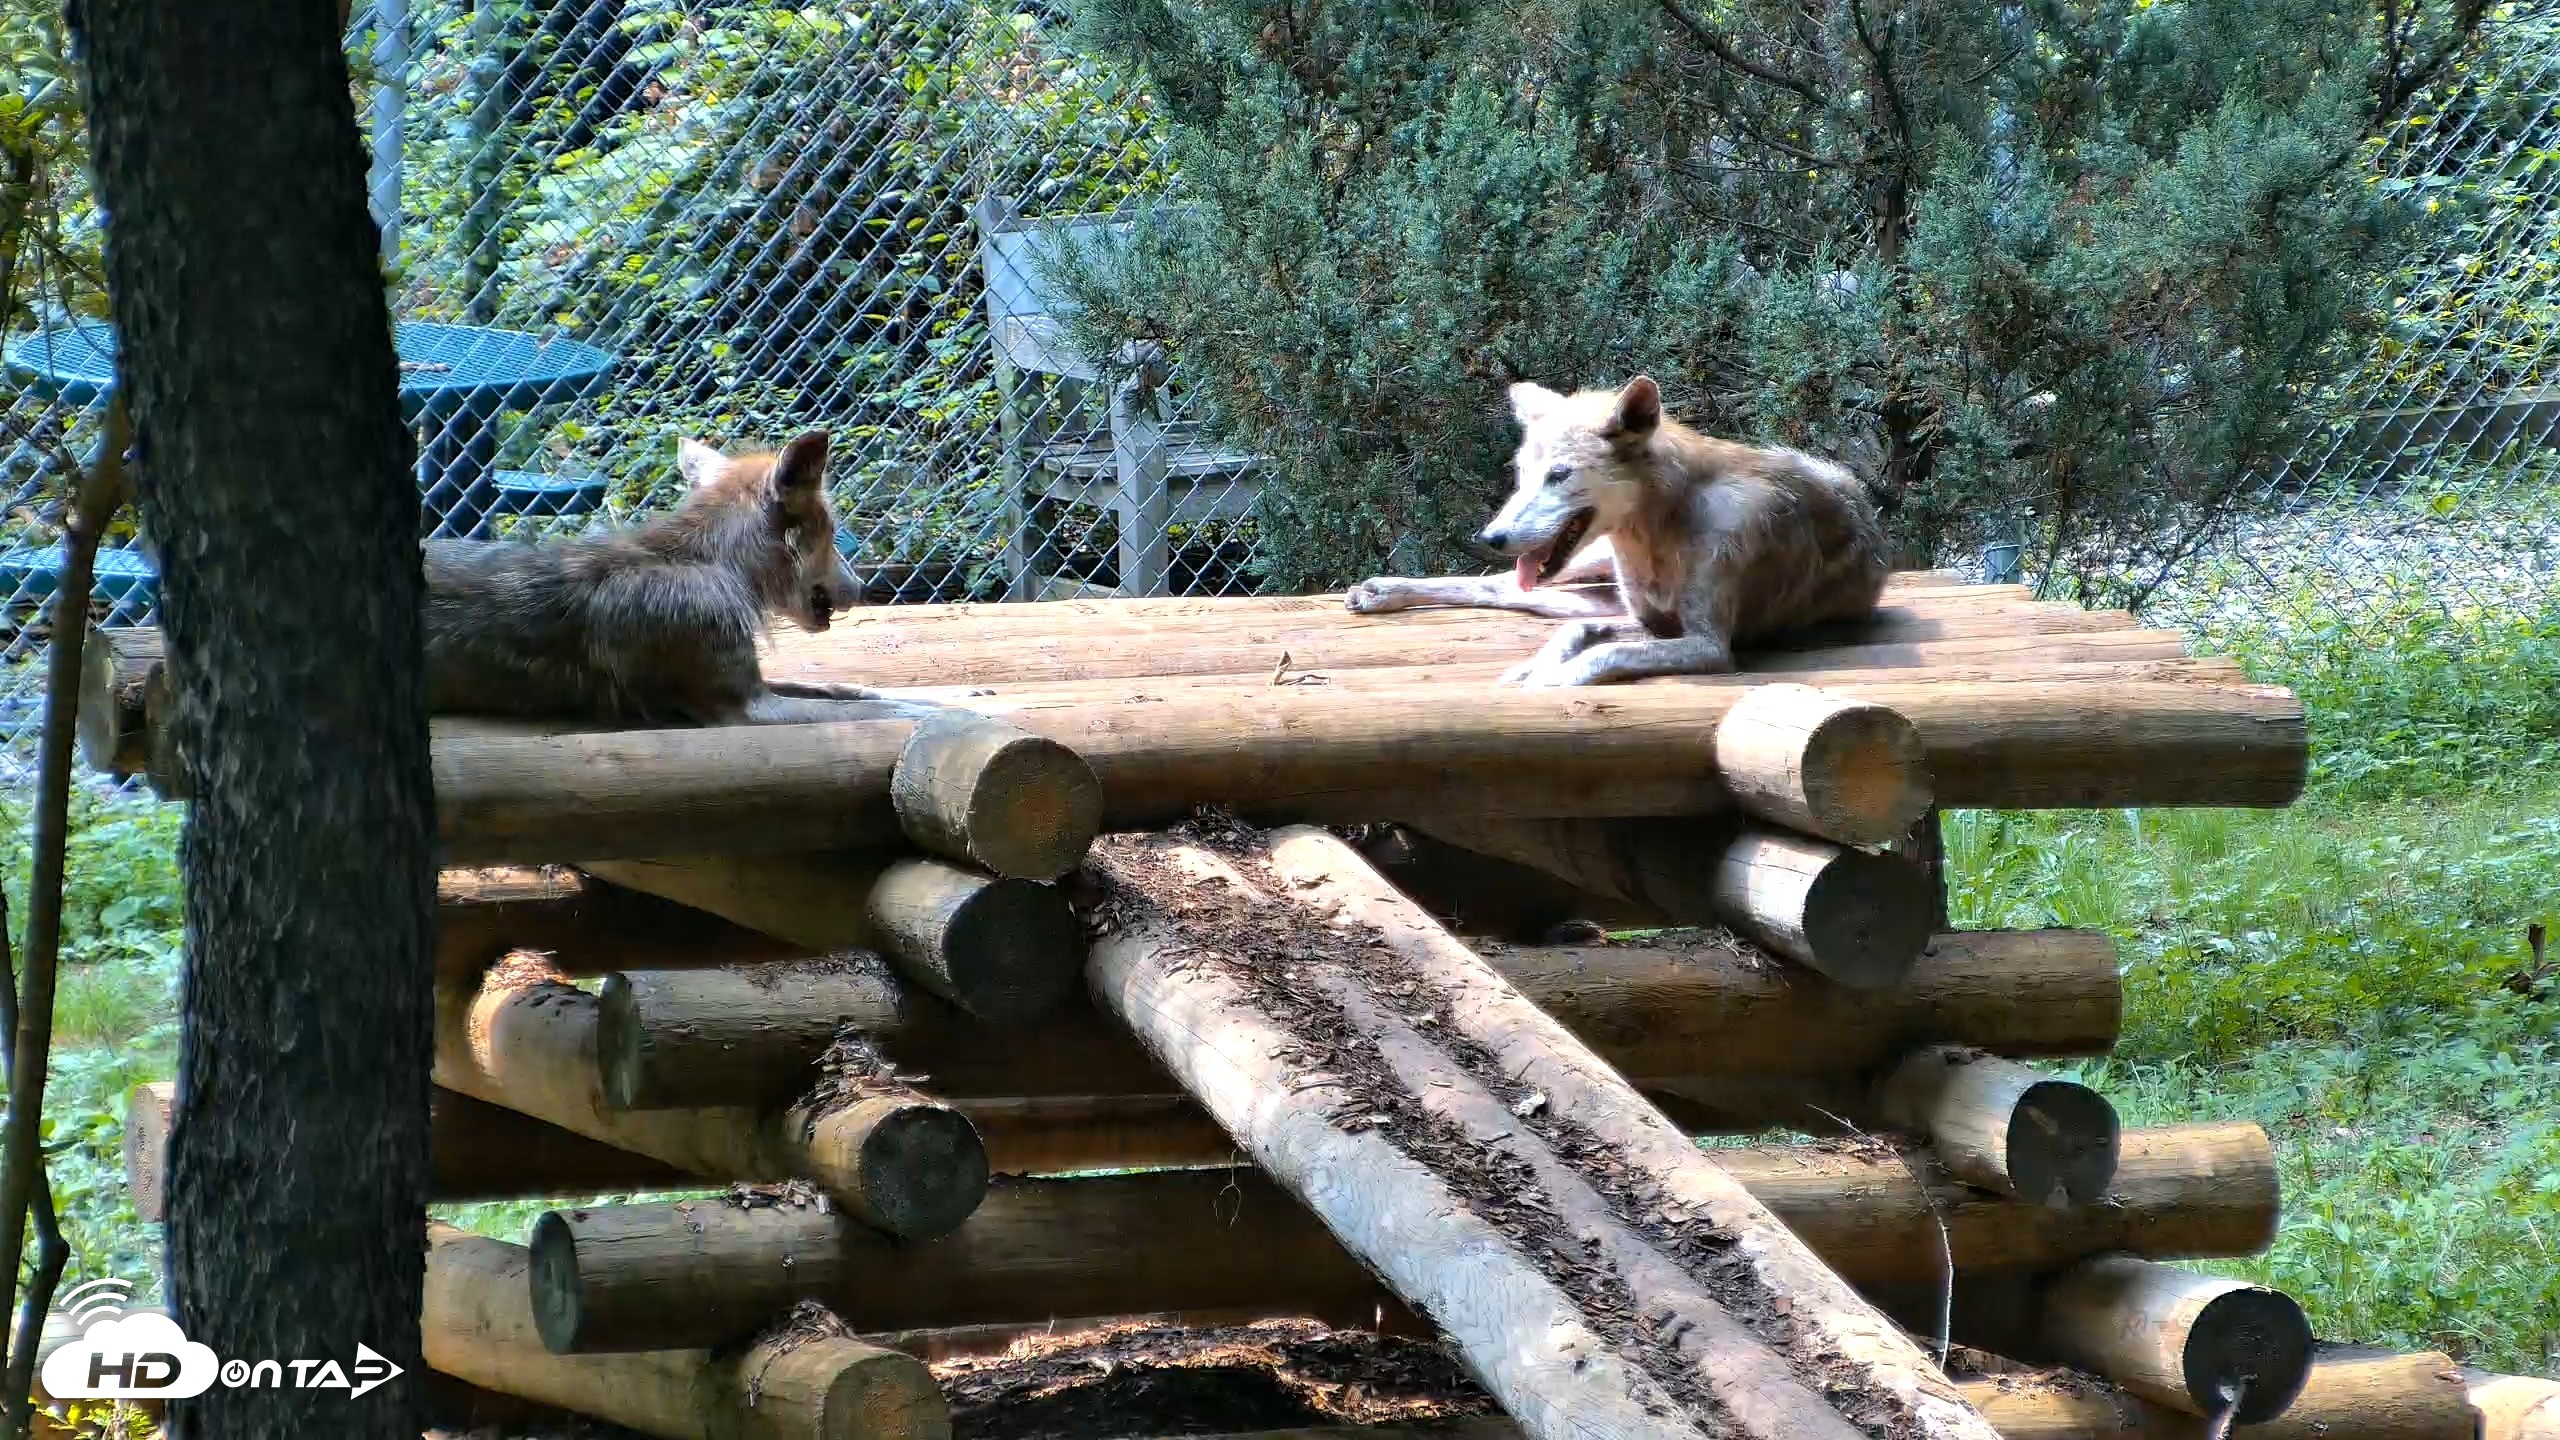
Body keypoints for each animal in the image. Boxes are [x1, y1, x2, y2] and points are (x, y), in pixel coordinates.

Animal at [424, 430, 931, 726]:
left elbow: (850, 691)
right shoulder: (747, 709)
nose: (861, 588)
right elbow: (876, 709)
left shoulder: (760, 686)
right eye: (831, 529)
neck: (715, 564)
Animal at [1344, 376, 1890, 688]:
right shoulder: (1647, 621)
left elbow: (1605, 650)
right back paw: (1380, 591)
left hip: (1586, 591)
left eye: (1559, 475)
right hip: (1586, 572)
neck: (1656, 535)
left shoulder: (1708, 645)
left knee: (1513, 594)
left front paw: (1548, 678)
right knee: (1498, 587)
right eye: (1521, 474)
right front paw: (1536, 667)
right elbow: (1578, 637)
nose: (1492, 538)